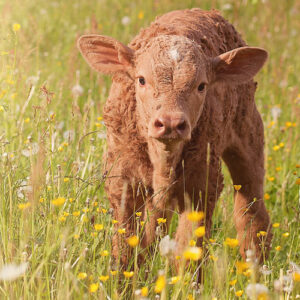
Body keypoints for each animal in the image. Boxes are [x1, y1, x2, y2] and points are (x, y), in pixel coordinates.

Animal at [77, 8, 272, 264]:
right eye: (141, 80)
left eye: (201, 86)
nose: (170, 123)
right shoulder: (122, 182)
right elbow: (126, 246)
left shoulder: (202, 186)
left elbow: (189, 252)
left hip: (249, 135)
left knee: (251, 212)